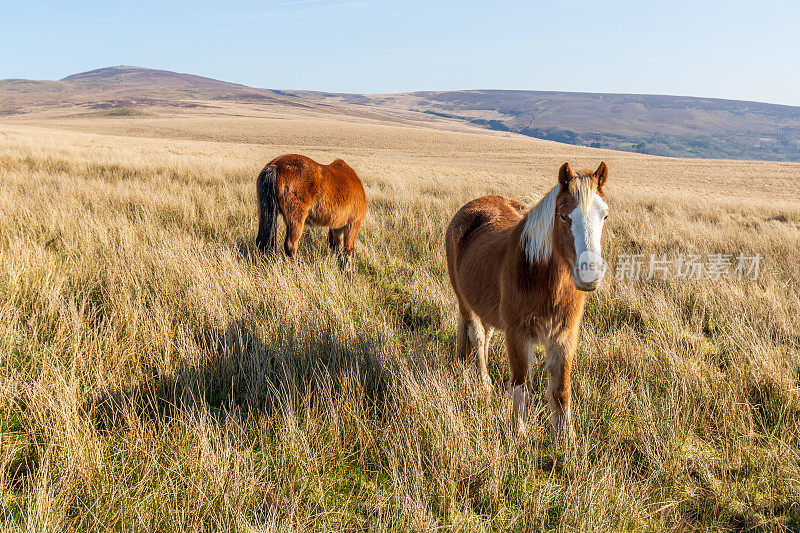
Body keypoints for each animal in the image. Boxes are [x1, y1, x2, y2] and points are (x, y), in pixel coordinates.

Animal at [446, 162, 608, 440]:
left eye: (605, 216)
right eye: (564, 216)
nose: (589, 275)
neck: (543, 278)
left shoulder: (564, 338)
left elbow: (561, 390)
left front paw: (565, 438)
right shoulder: (518, 335)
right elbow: (521, 385)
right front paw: (518, 431)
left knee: (485, 336)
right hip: (465, 302)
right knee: (477, 337)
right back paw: (484, 382)